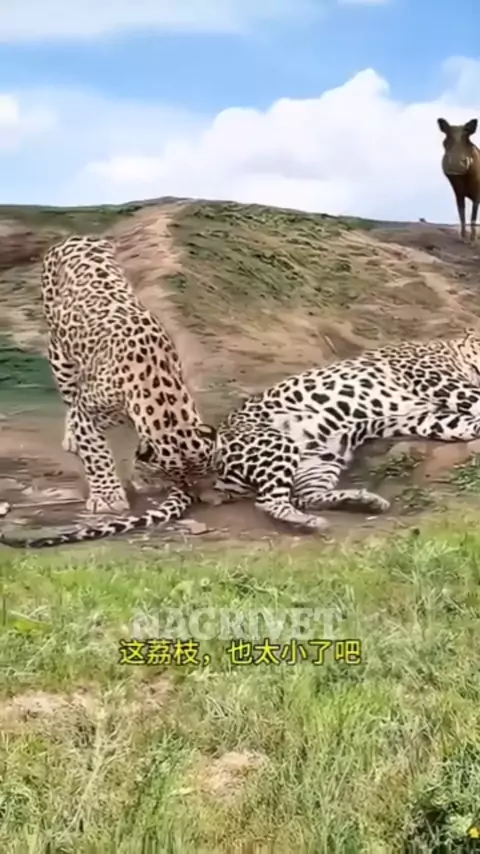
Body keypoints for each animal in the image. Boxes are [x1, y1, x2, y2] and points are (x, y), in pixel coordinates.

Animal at [3, 330, 480, 549]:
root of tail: (184, 474)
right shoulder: (443, 386)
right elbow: (473, 404)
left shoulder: (427, 413)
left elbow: (458, 422)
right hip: (277, 445)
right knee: (272, 502)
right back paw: (310, 522)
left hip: (319, 459)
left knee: (305, 494)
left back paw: (363, 501)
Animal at [16, 233, 219, 519]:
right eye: (175, 477)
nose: (197, 494)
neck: (157, 385)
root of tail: (76, 238)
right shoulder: (88, 411)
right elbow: (96, 453)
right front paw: (107, 497)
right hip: (60, 354)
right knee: (69, 397)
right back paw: (72, 435)